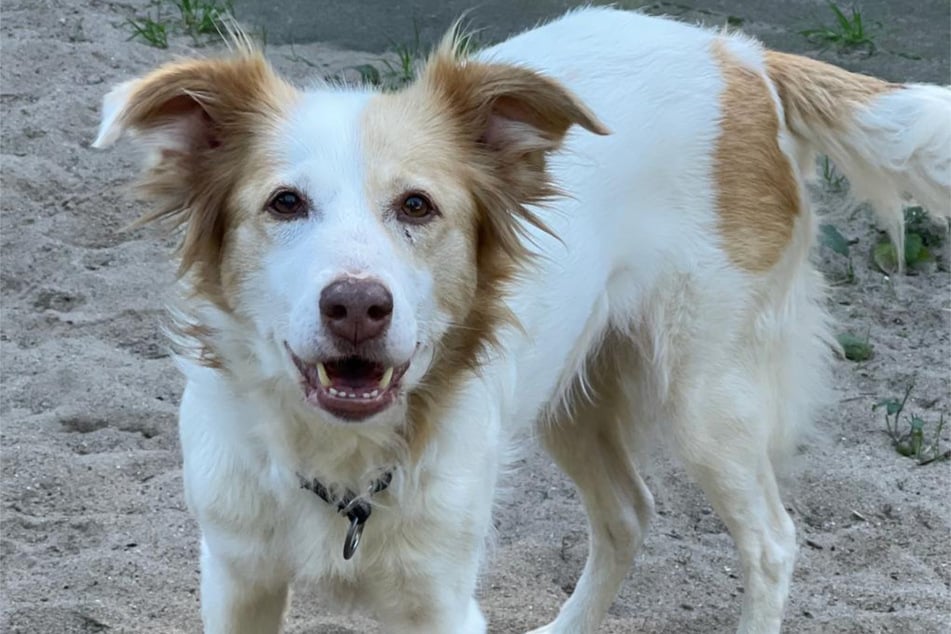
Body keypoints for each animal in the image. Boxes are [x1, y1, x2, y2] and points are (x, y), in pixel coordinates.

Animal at [91, 6, 951, 632]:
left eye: (417, 206)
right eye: (284, 203)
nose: (358, 306)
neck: (340, 460)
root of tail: (740, 55)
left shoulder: (439, 598)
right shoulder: (237, 576)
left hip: (709, 396)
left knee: (770, 542)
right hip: (573, 389)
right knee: (629, 514)